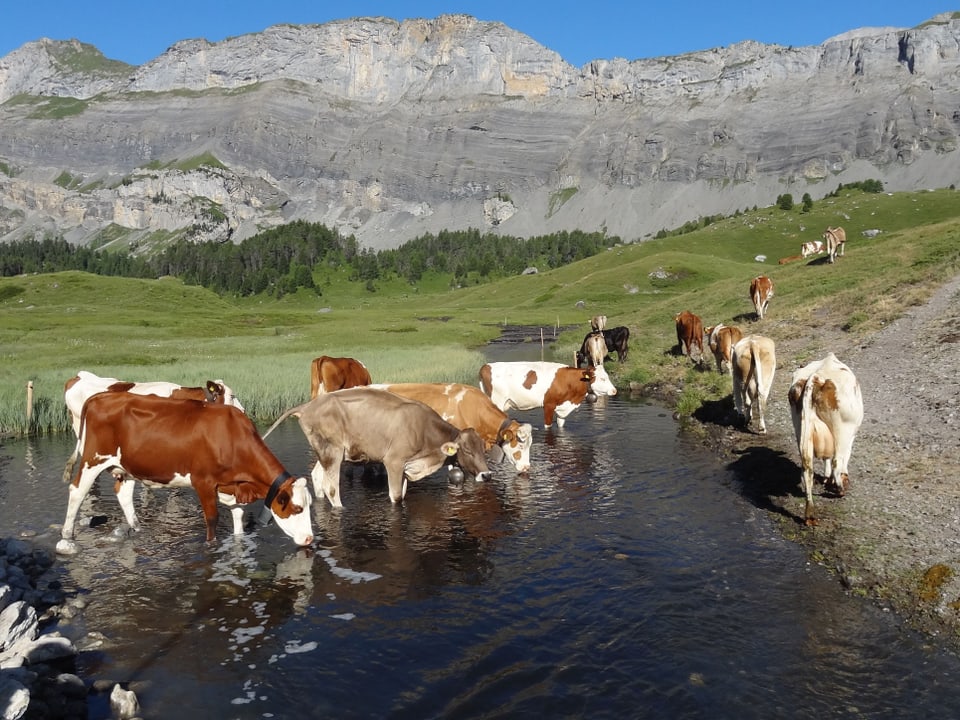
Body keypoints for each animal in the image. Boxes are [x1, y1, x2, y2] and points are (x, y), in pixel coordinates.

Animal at [57, 390, 316, 556]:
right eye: (297, 509)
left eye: (309, 506)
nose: (309, 539)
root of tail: (101, 396)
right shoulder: (204, 482)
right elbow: (212, 520)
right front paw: (210, 547)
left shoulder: (232, 486)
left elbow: (238, 521)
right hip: (93, 460)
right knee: (77, 491)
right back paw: (67, 535)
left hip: (127, 466)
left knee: (123, 493)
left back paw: (137, 528)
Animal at [260, 388, 488, 506]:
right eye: (467, 450)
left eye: (483, 449)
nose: (487, 475)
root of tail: (307, 406)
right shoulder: (394, 462)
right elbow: (396, 496)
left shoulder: (406, 467)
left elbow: (403, 493)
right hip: (333, 452)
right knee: (331, 488)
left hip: (325, 451)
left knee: (317, 476)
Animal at [478, 362, 620, 430]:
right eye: (602, 379)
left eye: (607, 376)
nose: (614, 391)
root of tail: (485, 366)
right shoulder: (548, 405)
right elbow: (548, 426)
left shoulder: (562, 408)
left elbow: (561, 425)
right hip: (497, 402)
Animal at [784, 352, 868, 524]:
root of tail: (815, 378)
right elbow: (841, 459)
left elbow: (826, 458)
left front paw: (826, 479)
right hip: (842, 429)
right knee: (837, 460)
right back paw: (840, 489)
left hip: (801, 428)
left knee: (807, 467)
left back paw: (810, 515)